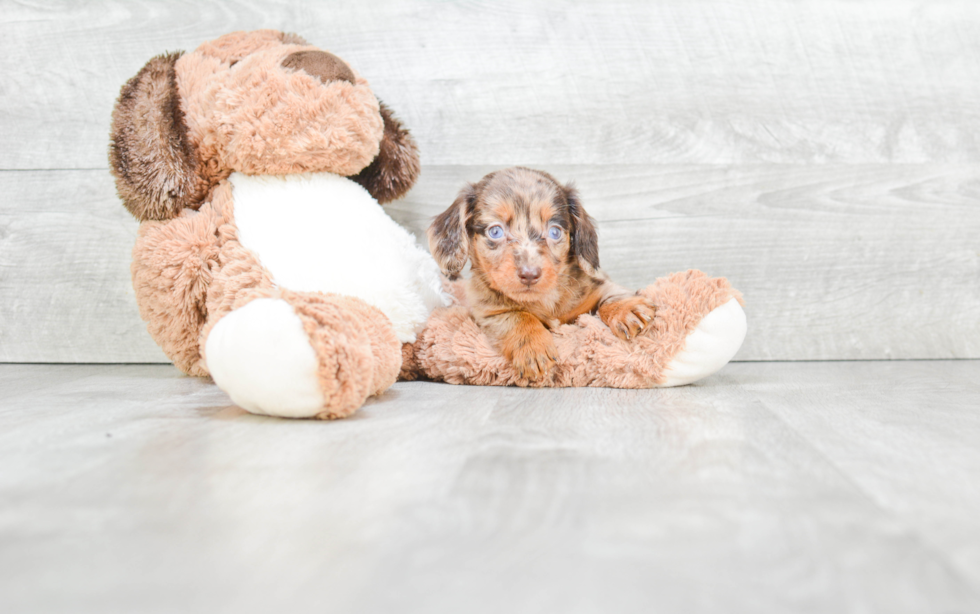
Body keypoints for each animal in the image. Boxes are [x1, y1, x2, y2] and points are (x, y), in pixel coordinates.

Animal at [428, 168, 660, 380]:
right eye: (495, 231)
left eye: (554, 231)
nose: (530, 274)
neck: (544, 298)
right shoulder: (488, 313)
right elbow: (518, 316)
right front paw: (533, 346)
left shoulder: (597, 285)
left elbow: (611, 294)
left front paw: (626, 309)